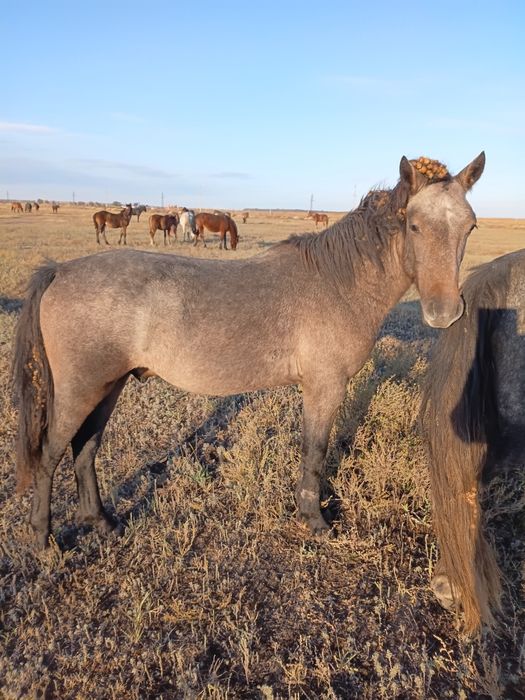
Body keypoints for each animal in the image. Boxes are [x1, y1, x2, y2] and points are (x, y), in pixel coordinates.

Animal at [11, 152, 485, 550]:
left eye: (470, 227)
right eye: (414, 226)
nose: (444, 312)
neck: (338, 281)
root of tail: (60, 272)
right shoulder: (325, 387)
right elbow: (315, 452)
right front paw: (314, 520)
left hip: (107, 387)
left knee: (85, 450)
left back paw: (103, 523)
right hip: (81, 389)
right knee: (51, 454)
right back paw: (43, 541)